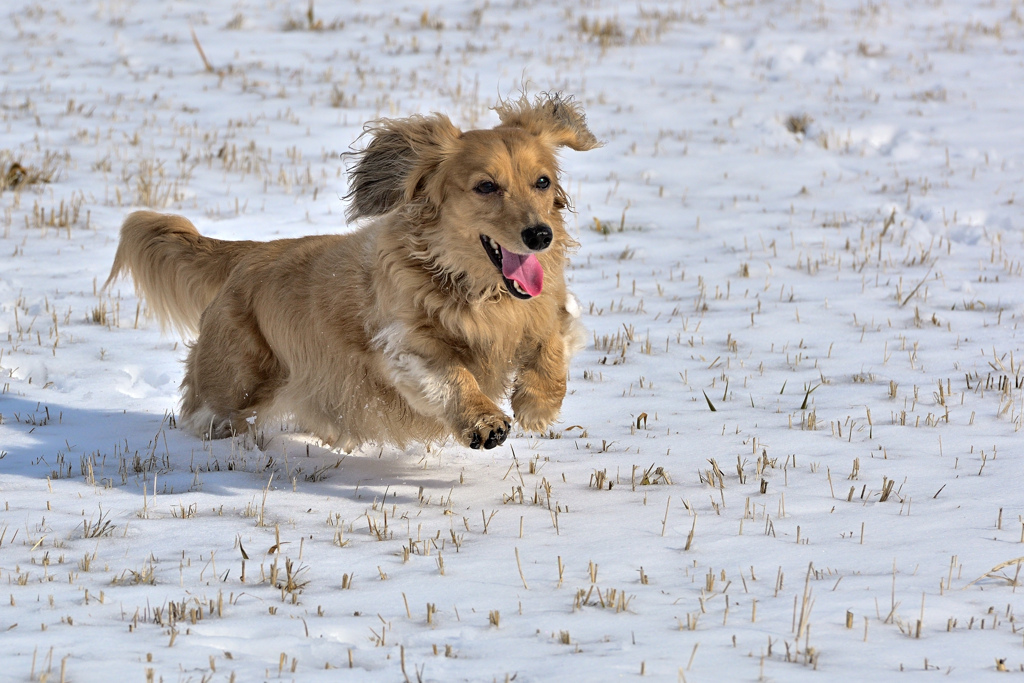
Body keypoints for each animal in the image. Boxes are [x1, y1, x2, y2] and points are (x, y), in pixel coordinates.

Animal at [103, 93, 598, 450]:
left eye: (542, 181)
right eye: (486, 186)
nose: (539, 235)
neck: (481, 293)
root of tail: (249, 255)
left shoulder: (548, 310)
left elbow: (551, 343)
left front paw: (537, 403)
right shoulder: (406, 346)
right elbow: (455, 375)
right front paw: (484, 420)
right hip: (234, 382)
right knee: (204, 414)